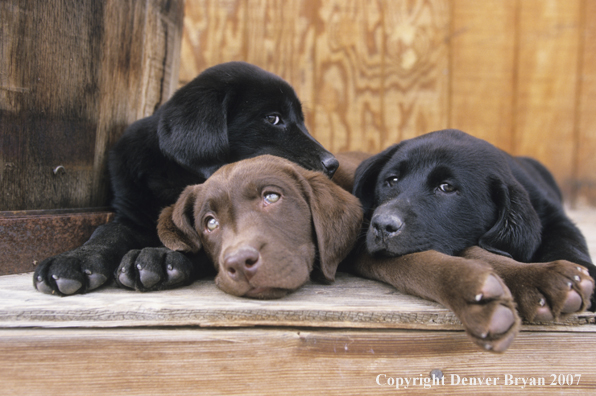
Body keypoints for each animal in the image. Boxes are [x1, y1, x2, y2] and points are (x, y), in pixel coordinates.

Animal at [33, 62, 340, 296]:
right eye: (273, 118)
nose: (333, 164)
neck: (172, 178)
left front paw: (156, 256)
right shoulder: (130, 215)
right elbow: (106, 232)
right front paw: (74, 260)